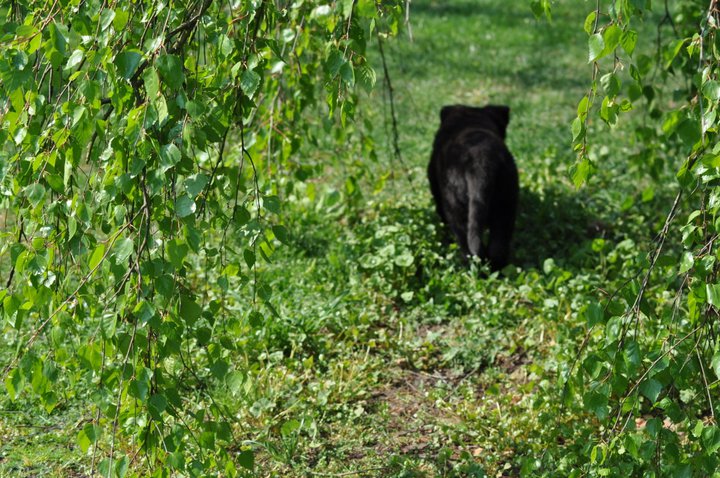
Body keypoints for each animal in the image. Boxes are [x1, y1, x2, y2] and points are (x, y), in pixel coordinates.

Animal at [428, 104, 516, 270]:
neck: (468, 120)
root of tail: (480, 163)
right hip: (505, 203)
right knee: (498, 247)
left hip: (455, 208)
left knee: (468, 246)